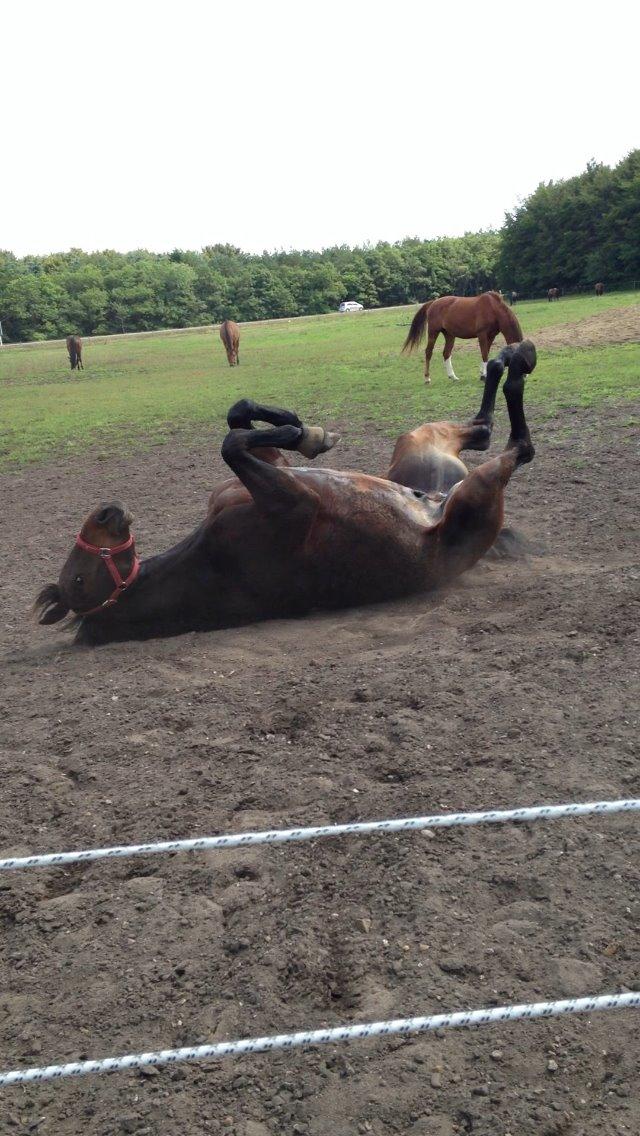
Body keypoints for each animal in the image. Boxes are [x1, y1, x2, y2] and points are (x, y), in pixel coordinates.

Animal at [33, 336, 536, 645]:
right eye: (78, 581)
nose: (106, 512)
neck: (203, 558)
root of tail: (438, 501)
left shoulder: (271, 475)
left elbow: (238, 418)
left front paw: (309, 433)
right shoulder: (297, 502)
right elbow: (233, 442)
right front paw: (303, 431)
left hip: (419, 441)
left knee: (484, 428)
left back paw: (508, 357)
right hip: (475, 492)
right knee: (516, 446)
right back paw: (517, 363)